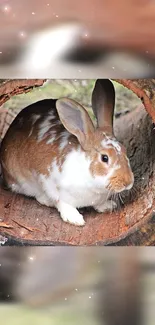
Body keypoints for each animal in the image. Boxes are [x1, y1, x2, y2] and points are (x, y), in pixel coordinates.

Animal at [0, 79, 134, 225]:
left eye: (125, 150)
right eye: (105, 158)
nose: (128, 182)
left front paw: (108, 206)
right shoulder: (52, 185)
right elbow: (62, 203)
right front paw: (75, 219)